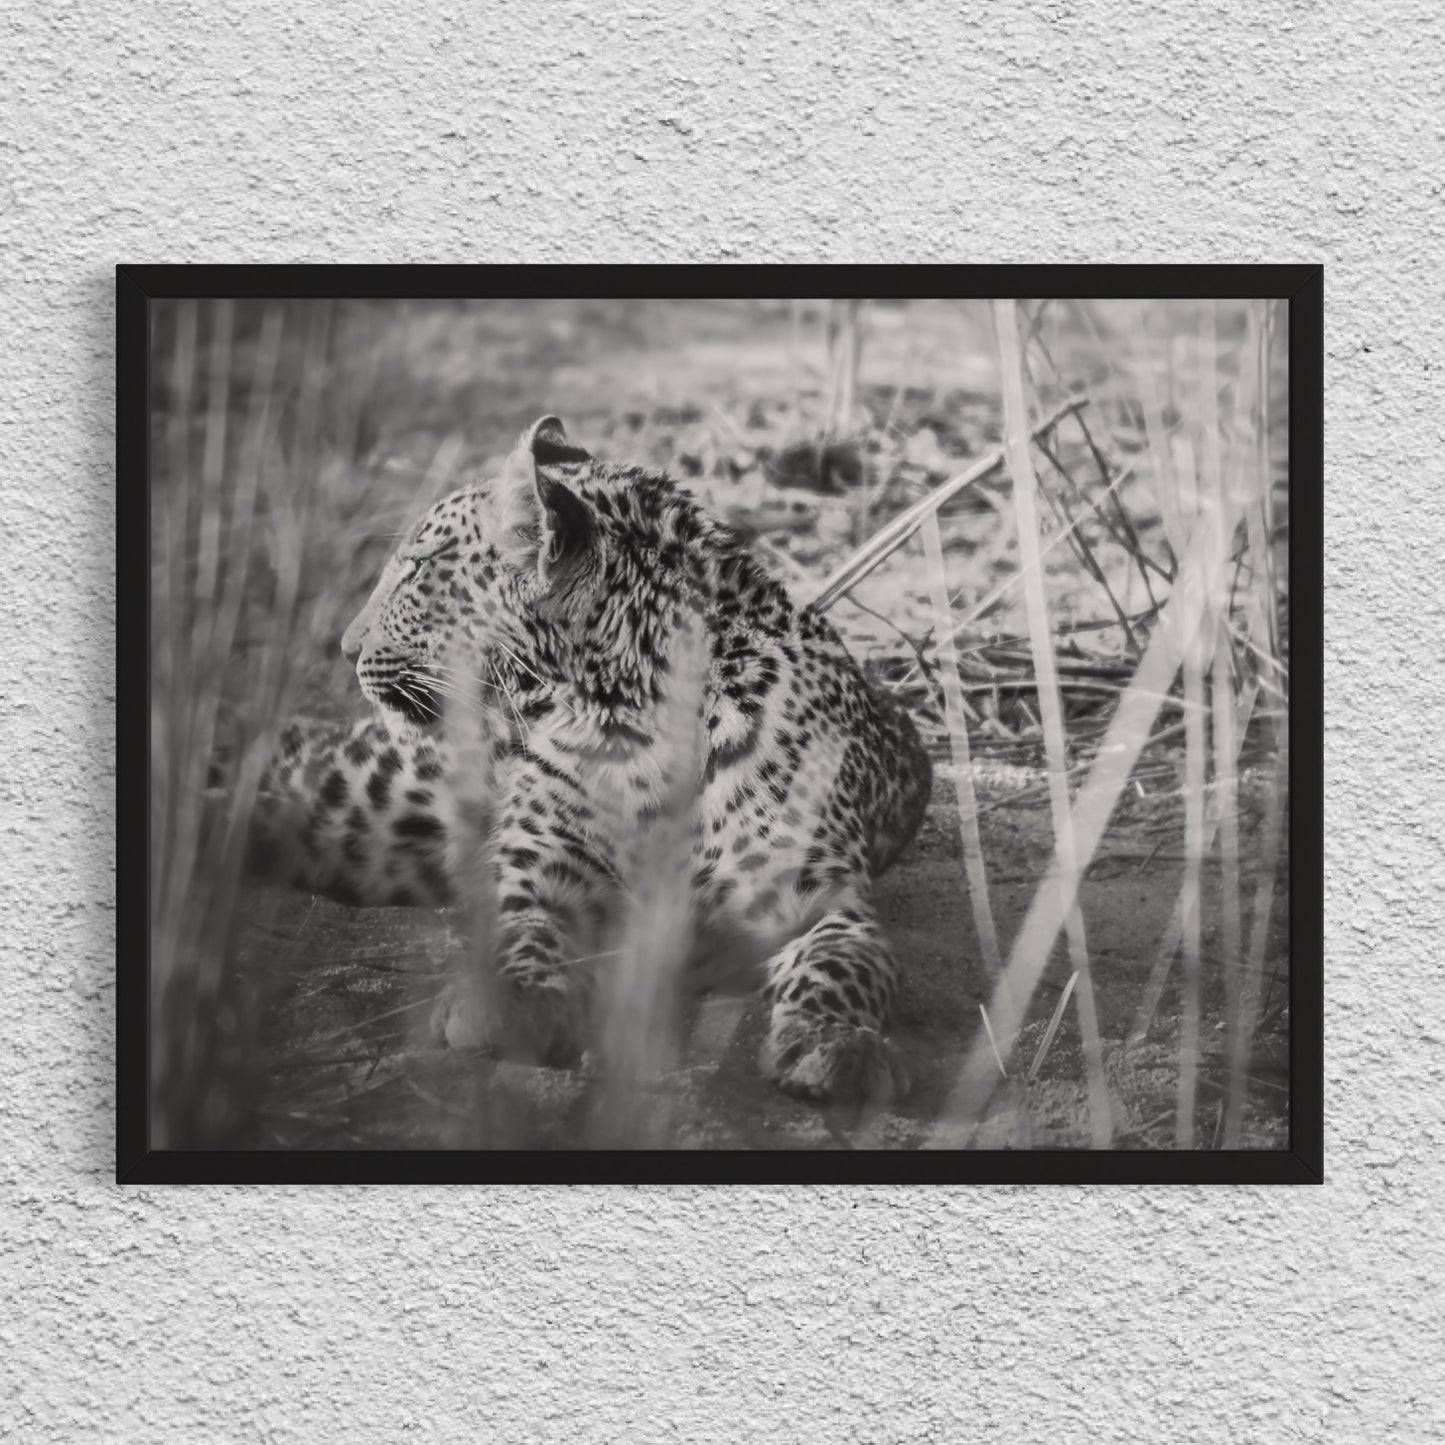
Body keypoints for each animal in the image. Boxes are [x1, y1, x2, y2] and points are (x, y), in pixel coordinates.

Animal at [251, 414, 933, 1103]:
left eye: (417, 567)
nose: (345, 647)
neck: (636, 721)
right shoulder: (541, 874)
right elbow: (522, 932)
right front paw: (511, 1003)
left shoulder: (819, 902)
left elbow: (842, 966)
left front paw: (833, 1042)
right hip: (377, 791)